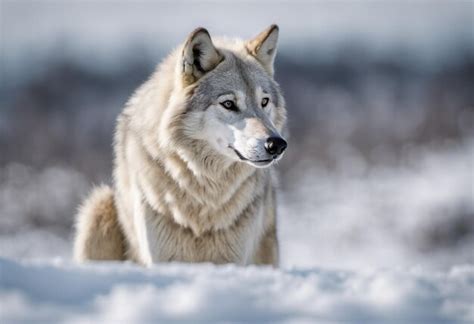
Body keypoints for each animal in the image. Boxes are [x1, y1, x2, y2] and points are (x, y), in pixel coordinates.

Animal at [74, 25, 288, 268]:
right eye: (228, 104)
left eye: (264, 102)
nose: (276, 144)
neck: (204, 189)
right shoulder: (162, 259)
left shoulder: (232, 260)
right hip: (97, 208)